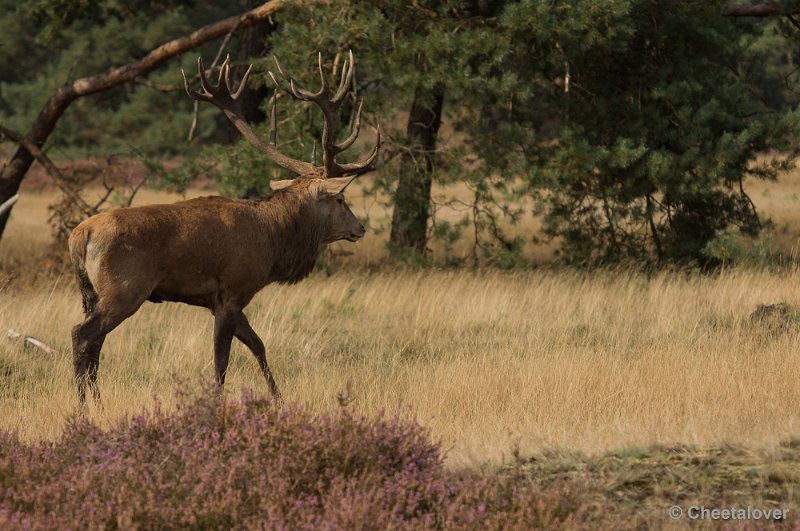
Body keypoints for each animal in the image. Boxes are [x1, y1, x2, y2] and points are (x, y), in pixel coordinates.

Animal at [67, 52, 380, 406]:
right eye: (340, 198)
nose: (360, 227)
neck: (272, 242)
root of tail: (80, 236)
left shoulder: (223, 300)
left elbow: (258, 345)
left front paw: (278, 398)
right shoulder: (232, 291)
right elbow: (221, 361)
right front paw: (216, 403)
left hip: (93, 292)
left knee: (96, 343)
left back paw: (97, 402)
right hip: (125, 288)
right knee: (83, 334)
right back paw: (85, 404)